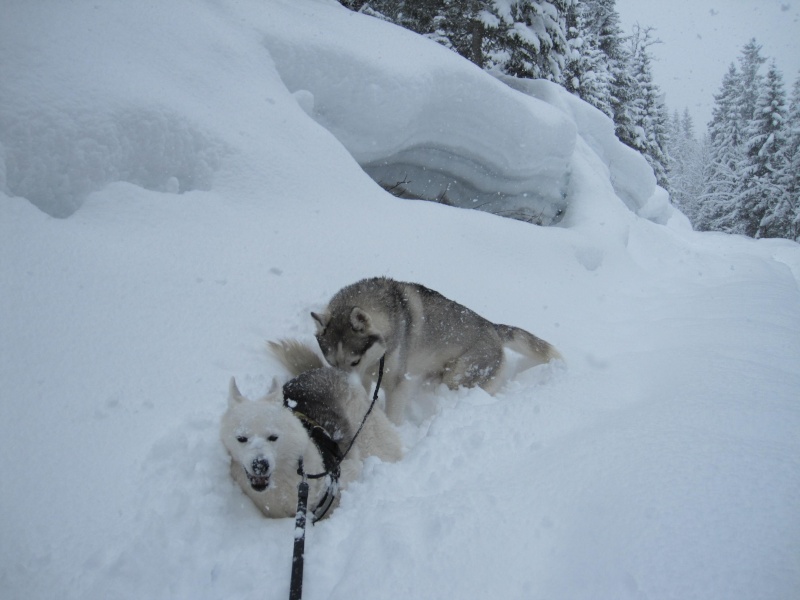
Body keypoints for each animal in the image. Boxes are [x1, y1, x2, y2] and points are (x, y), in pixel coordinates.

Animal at [219, 342, 404, 520]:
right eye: (241, 438)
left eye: (273, 437)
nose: (259, 465)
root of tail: (327, 370)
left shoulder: (348, 472)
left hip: (372, 441)